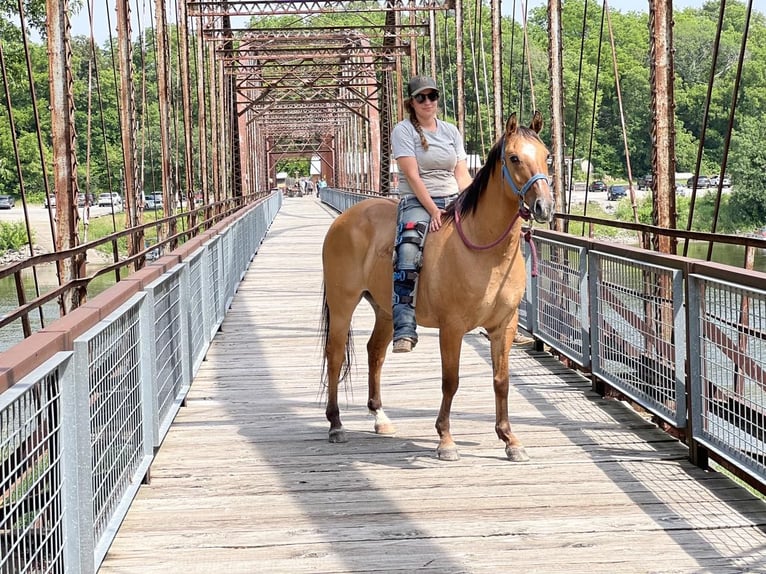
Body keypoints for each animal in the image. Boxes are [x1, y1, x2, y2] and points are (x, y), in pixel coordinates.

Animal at [320, 112, 556, 464]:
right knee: (335, 355)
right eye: (514, 158)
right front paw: (445, 439)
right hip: (342, 304)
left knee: (375, 352)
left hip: (386, 309)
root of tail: (344, 220)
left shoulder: (505, 326)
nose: (544, 206)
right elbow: (450, 381)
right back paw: (335, 424)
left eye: (547, 156)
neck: (484, 250)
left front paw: (510, 439)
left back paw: (380, 418)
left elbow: (501, 381)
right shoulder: (452, 327)